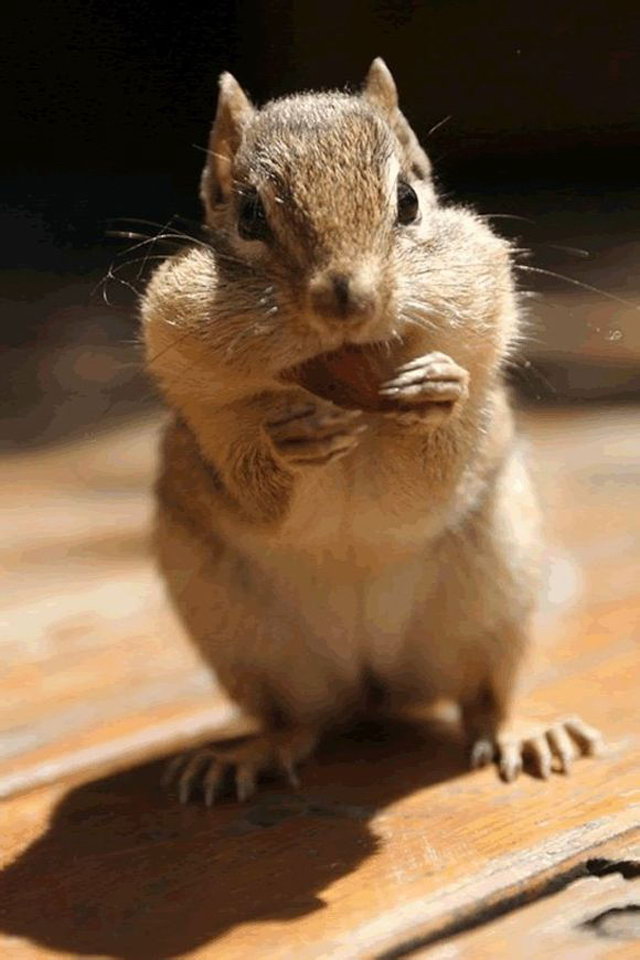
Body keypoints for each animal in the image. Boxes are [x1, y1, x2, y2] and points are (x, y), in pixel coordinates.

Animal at [142, 58, 604, 804]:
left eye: (409, 201)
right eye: (248, 214)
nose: (347, 299)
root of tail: (373, 686)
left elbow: (424, 485)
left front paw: (439, 390)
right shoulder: (198, 402)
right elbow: (252, 485)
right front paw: (285, 444)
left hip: (493, 602)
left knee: (483, 698)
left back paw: (524, 731)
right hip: (251, 643)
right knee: (296, 722)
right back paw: (247, 755)